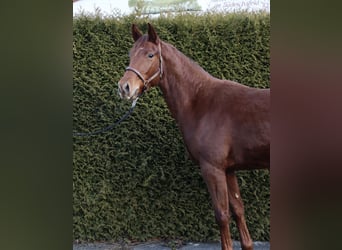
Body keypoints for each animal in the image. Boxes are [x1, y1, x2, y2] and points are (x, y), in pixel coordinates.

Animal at [118, 23, 270, 250]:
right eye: (130, 54)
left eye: (150, 55)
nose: (124, 87)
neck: (201, 101)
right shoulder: (229, 170)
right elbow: (238, 210)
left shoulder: (212, 168)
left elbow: (222, 214)